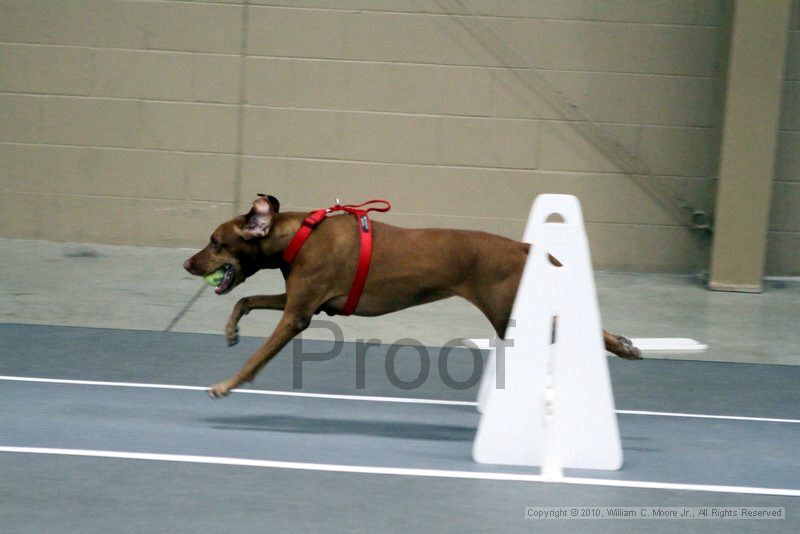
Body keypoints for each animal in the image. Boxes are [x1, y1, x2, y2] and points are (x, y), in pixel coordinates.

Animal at [184, 196, 640, 398]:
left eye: (216, 242)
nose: (188, 264)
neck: (300, 235)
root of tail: (524, 247)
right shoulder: (303, 301)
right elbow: (244, 301)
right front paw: (230, 330)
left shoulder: (298, 314)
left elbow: (254, 359)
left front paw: (226, 384)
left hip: (510, 311)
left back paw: (623, 347)